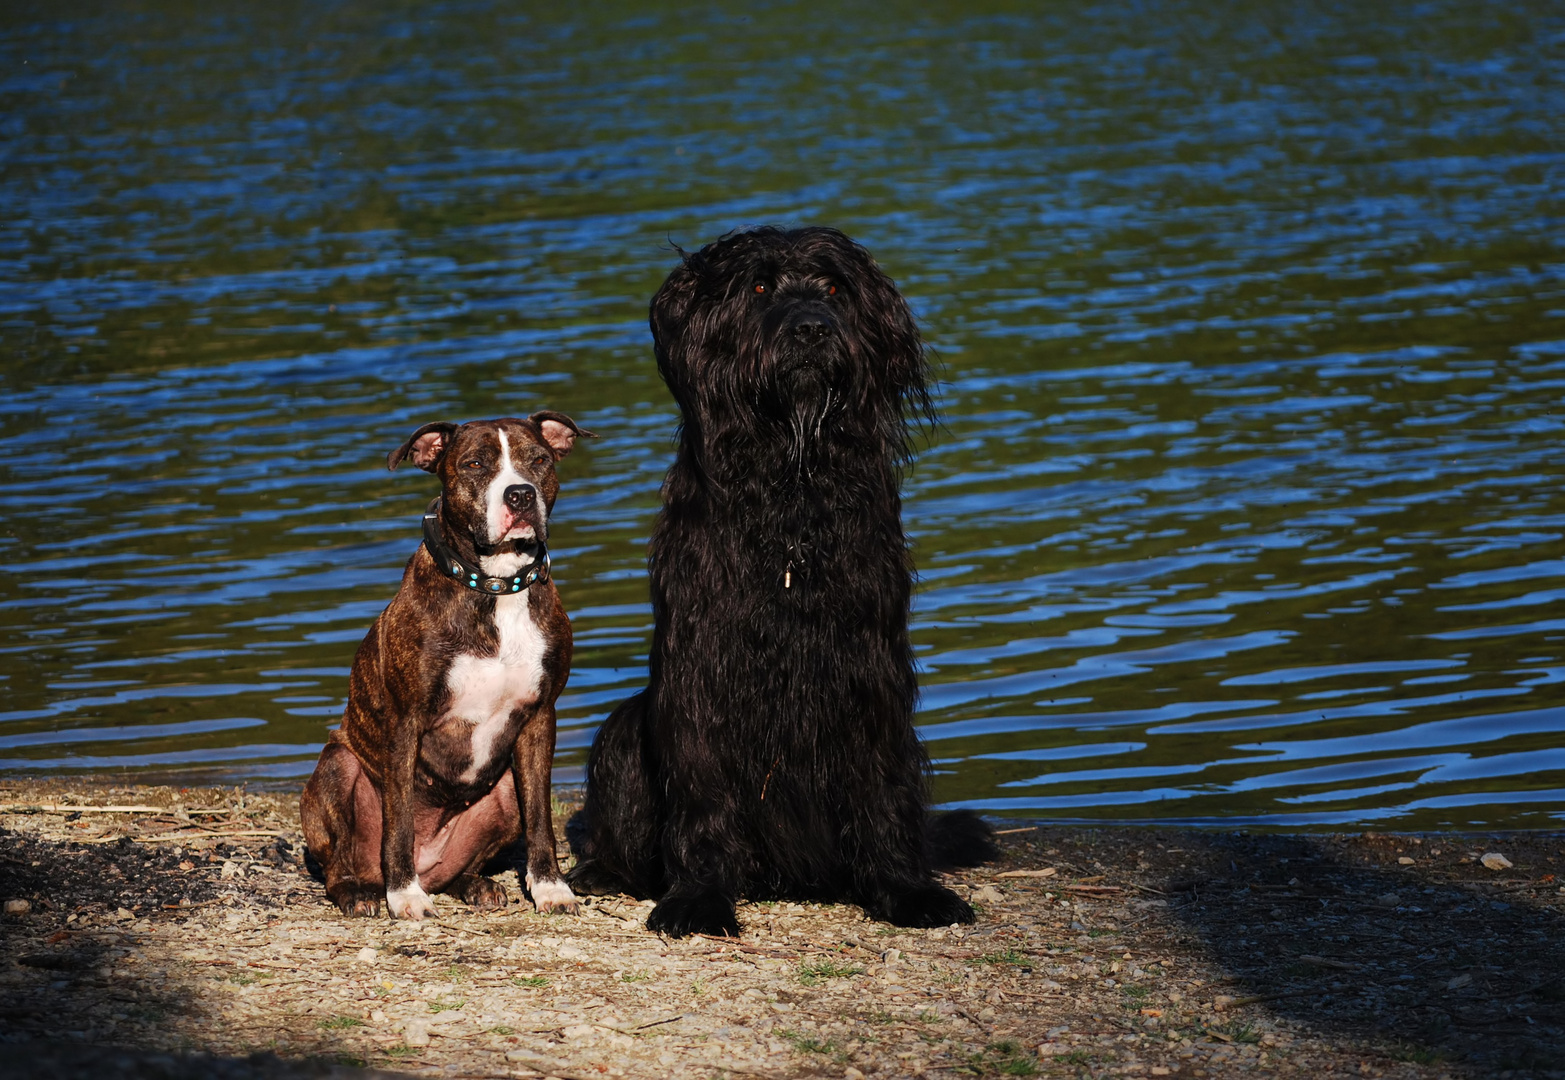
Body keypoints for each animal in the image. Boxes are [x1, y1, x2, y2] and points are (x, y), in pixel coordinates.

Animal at [569, 222, 995, 926]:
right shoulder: (702, 664)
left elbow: (880, 785)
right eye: (761, 287)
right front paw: (698, 897)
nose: (812, 328)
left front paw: (905, 888)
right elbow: (703, 792)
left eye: (834, 288)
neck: (791, 489)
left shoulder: (868, 668)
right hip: (627, 730)